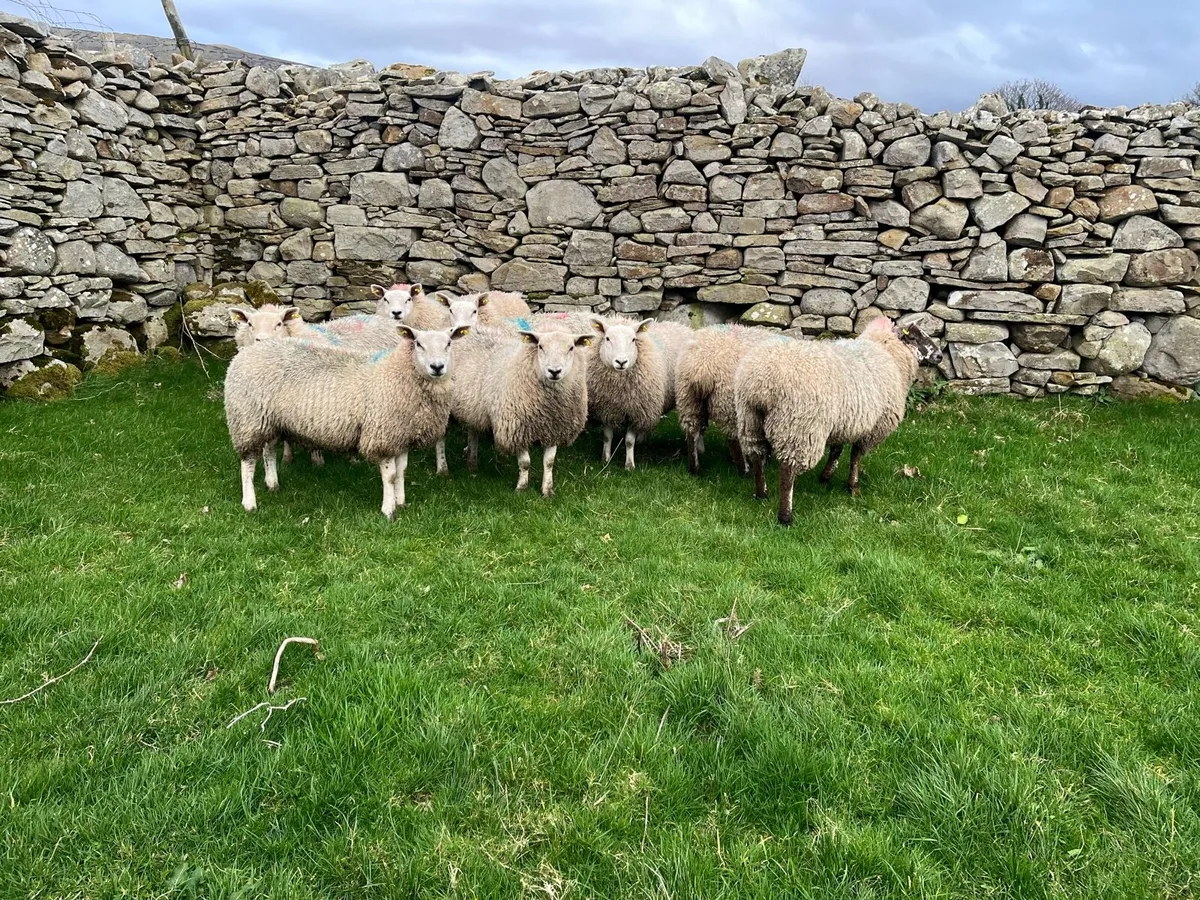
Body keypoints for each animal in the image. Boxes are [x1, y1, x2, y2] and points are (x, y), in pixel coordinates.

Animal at [224, 323, 471, 518]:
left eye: (449, 343)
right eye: (419, 344)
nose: (437, 367)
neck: (398, 374)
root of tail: (243, 354)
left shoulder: (401, 434)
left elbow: (402, 471)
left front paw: (401, 501)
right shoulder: (382, 434)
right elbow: (390, 476)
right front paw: (388, 510)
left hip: (269, 419)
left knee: (269, 451)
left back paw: (272, 483)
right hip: (247, 418)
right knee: (247, 462)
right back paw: (249, 502)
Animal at [450, 325, 593, 496]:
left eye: (571, 348)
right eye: (540, 346)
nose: (554, 371)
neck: (549, 407)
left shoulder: (554, 429)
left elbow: (549, 462)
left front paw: (547, 490)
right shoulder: (516, 429)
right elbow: (525, 463)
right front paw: (521, 488)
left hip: (473, 409)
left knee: (473, 431)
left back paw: (472, 463)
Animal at [675, 324, 779, 476]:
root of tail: (702, 366)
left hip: (688, 397)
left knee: (692, 431)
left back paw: (695, 468)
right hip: (728, 401)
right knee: (733, 438)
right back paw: (744, 469)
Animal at [733, 317, 943, 525]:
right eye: (915, 337)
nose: (940, 356)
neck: (887, 352)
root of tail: (761, 384)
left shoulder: (844, 421)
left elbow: (837, 450)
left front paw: (826, 477)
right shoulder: (873, 427)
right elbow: (856, 456)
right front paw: (853, 486)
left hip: (750, 419)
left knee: (757, 457)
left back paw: (762, 494)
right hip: (800, 427)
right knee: (788, 472)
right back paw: (785, 516)